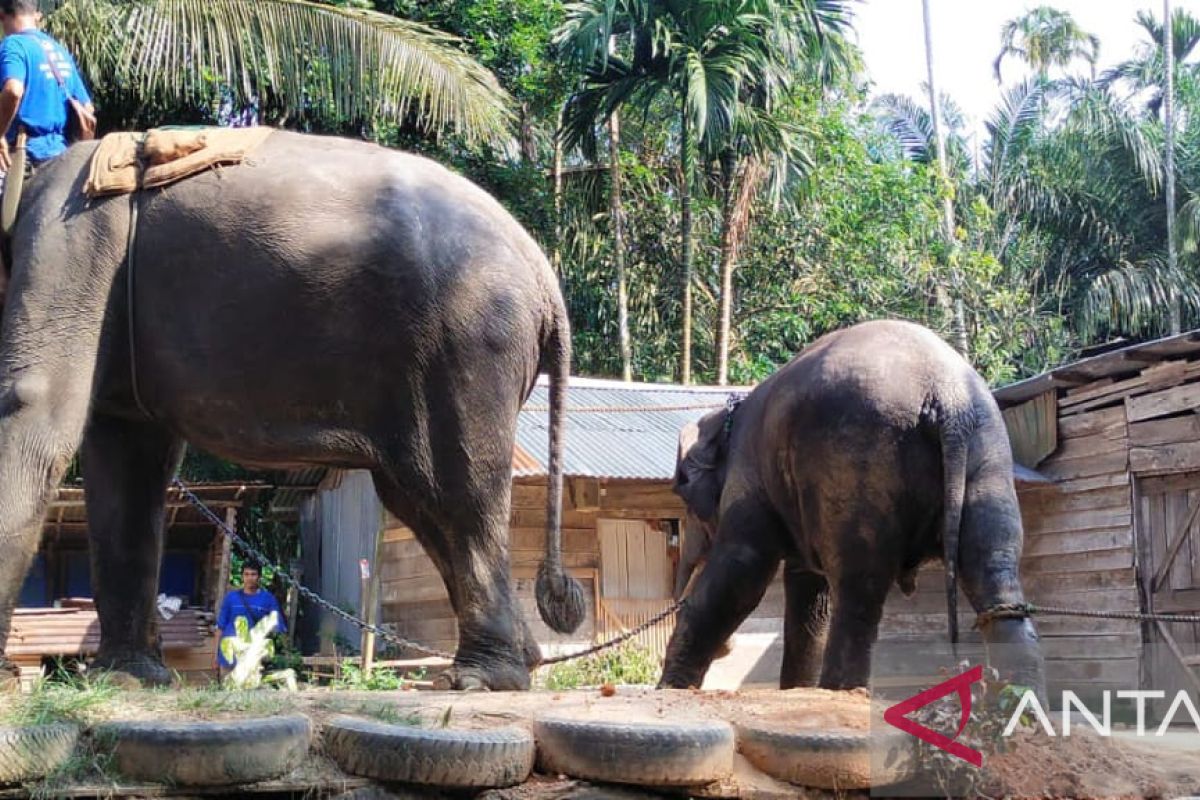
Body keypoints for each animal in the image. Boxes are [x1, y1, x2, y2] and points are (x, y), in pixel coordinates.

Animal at [0, 130, 585, 690]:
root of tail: (548, 283)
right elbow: (129, 463)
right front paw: (127, 677)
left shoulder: (69, 240)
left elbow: (32, 404)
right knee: (418, 499)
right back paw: (521, 663)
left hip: (466, 343)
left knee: (457, 492)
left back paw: (483, 677)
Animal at [662, 319, 1046, 695]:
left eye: (683, 495)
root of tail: (947, 396)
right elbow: (808, 592)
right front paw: (795, 690)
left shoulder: (748, 474)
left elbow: (743, 567)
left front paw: (670, 688)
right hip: (988, 449)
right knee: (992, 564)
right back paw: (1020, 703)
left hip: (855, 453)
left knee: (858, 587)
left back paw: (841, 691)